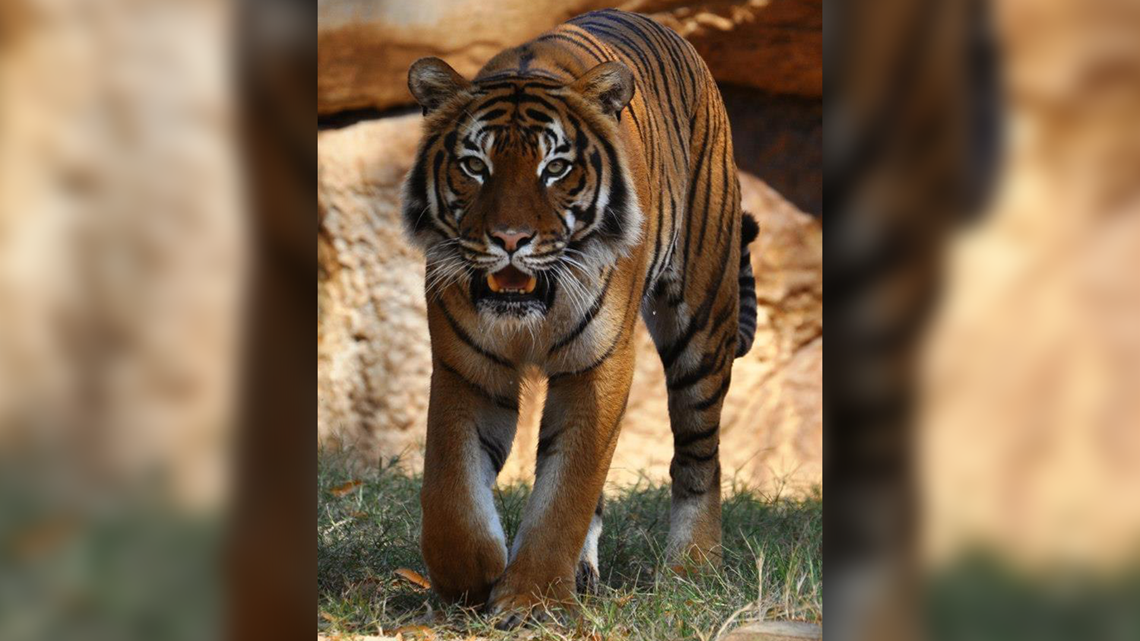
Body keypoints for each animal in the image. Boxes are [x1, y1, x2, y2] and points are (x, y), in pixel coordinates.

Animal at [399, 7, 756, 620]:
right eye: (474, 165)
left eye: (555, 167)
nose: (510, 239)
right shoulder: (467, 366)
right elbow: (450, 491)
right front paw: (478, 578)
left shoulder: (599, 364)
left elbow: (567, 486)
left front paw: (531, 598)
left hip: (703, 320)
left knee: (698, 455)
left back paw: (693, 567)